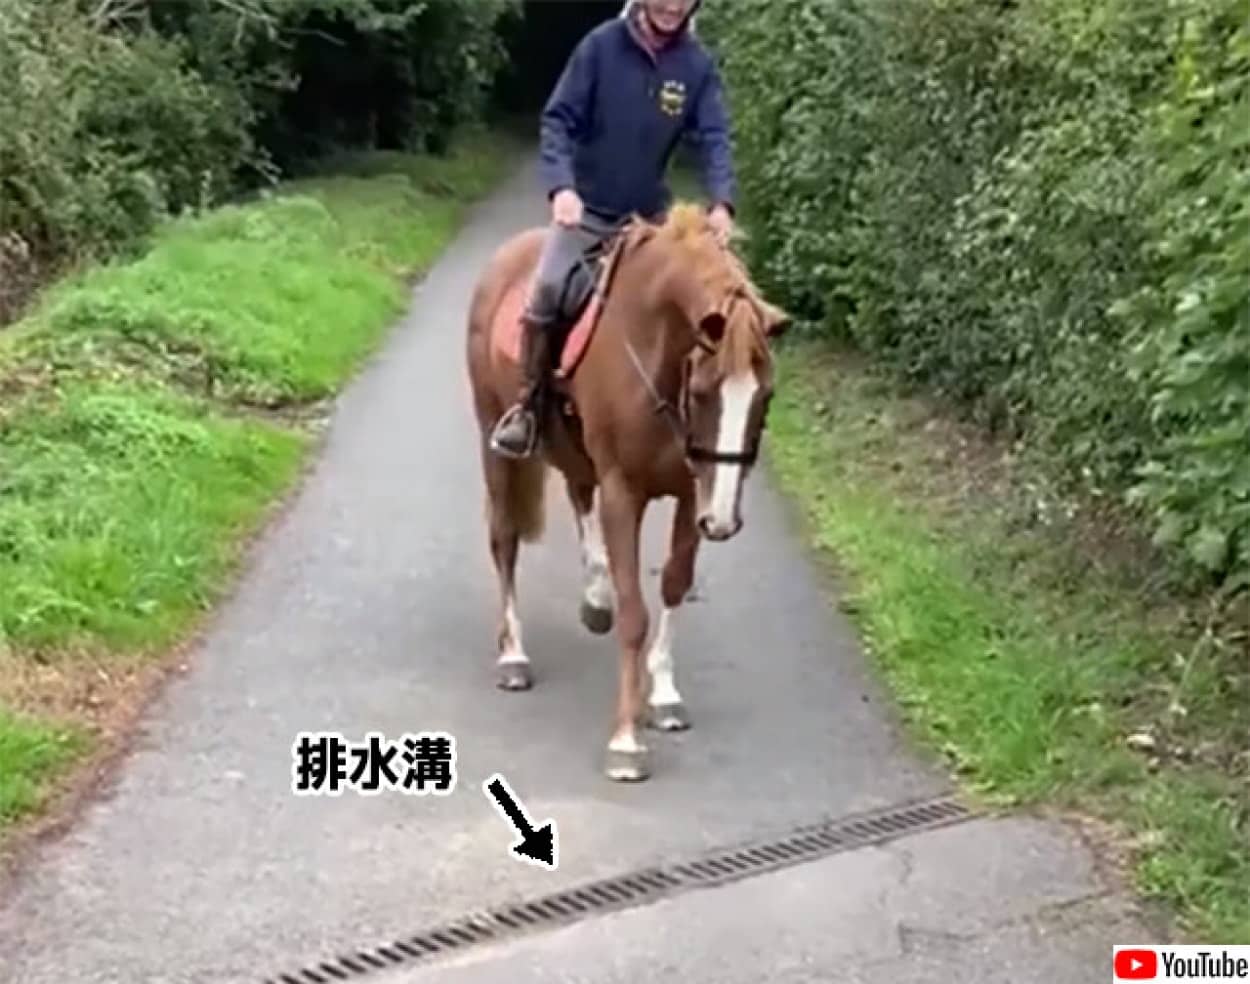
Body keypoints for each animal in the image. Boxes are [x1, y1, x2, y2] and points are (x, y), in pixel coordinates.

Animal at [465, 202, 785, 785]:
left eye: (764, 395)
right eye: (702, 392)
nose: (723, 521)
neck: (654, 345)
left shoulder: (691, 493)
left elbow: (675, 584)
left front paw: (663, 696)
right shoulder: (623, 493)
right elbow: (635, 613)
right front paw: (626, 742)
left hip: (573, 450)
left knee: (577, 496)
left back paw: (595, 599)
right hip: (494, 442)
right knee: (504, 540)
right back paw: (514, 657)